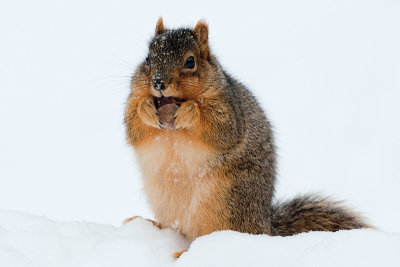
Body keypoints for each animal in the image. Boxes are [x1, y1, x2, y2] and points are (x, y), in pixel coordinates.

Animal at [124, 17, 368, 245]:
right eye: (148, 59)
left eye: (190, 61)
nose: (158, 83)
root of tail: (265, 228)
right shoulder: (134, 102)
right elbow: (133, 126)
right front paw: (145, 109)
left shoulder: (230, 111)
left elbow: (222, 128)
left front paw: (190, 111)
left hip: (228, 202)